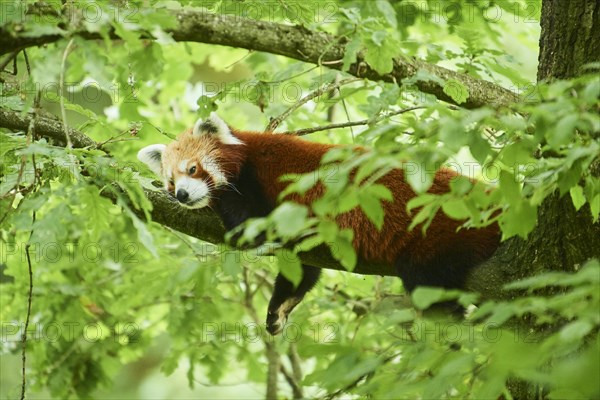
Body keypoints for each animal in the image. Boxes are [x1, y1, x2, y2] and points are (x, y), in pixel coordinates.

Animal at [138, 112, 500, 334]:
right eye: (170, 182)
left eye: (193, 169)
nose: (182, 194)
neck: (246, 157)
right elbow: (303, 268)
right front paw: (280, 307)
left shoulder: (264, 183)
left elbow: (252, 227)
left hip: (439, 235)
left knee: (430, 287)